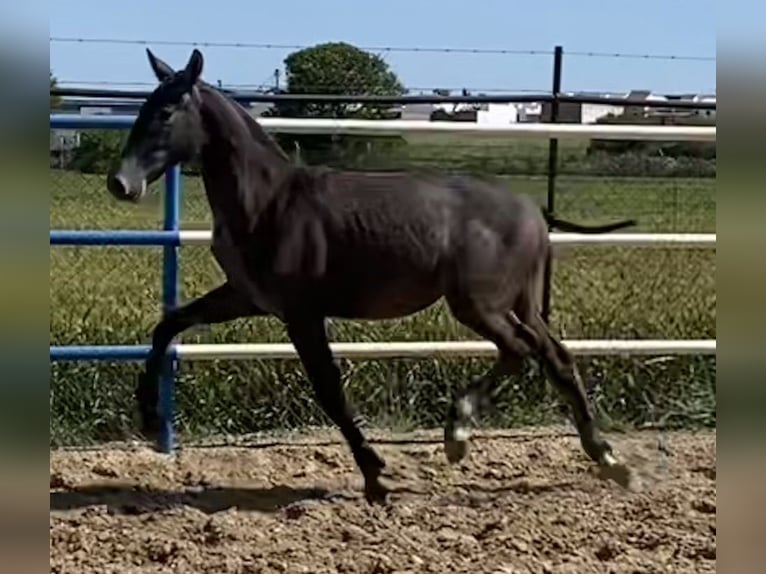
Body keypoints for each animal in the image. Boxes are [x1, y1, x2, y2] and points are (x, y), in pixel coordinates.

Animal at [106, 50, 636, 508]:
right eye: (144, 107)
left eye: (167, 111)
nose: (120, 183)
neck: (269, 202)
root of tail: (533, 211)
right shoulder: (247, 297)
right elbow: (169, 323)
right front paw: (149, 417)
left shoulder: (302, 314)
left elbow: (329, 391)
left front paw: (376, 476)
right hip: (516, 303)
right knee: (555, 357)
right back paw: (610, 461)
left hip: (479, 304)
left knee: (520, 352)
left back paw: (459, 434)